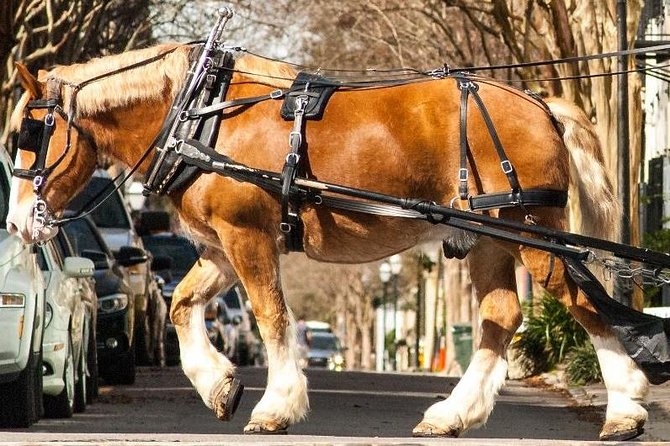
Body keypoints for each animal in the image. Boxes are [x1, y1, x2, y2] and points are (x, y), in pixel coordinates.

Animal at [6, 42, 649, 441]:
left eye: (30, 135)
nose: (16, 225)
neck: (201, 114)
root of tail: (541, 102)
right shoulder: (219, 247)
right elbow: (183, 306)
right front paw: (219, 387)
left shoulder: (248, 236)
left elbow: (271, 317)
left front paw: (275, 406)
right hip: (490, 236)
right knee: (500, 316)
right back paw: (451, 414)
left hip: (531, 231)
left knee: (581, 304)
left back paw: (624, 408)